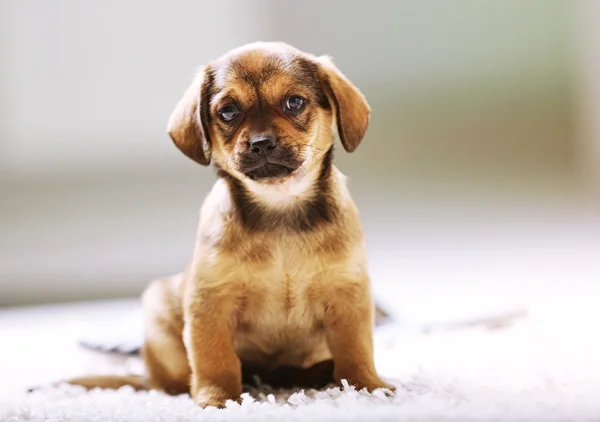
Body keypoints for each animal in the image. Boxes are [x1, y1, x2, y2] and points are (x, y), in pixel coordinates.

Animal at [64, 41, 394, 408]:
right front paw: (218, 399)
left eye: (295, 102)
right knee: (170, 383)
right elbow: (215, 359)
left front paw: (367, 386)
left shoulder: (348, 298)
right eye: (228, 112)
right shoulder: (211, 304)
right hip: (160, 315)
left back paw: (321, 373)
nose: (261, 143)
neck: (280, 208)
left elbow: (356, 350)